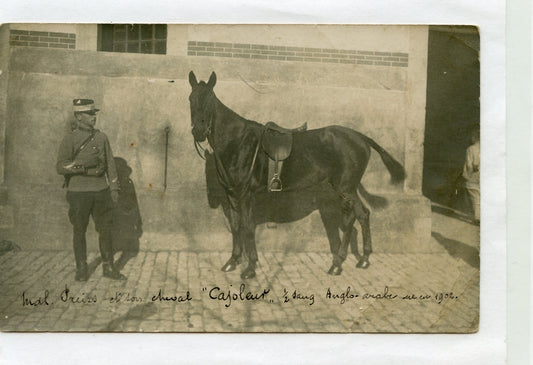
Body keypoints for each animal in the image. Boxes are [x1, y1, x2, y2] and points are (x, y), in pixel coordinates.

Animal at [187, 71, 404, 278]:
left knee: (351, 218)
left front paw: (250, 267)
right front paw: (233, 261)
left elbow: (247, 227)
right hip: (349, 188)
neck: (238, 141)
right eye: (191, 98)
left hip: (345, 189)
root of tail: (360, 137)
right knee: (363, 214)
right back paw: (364, 259)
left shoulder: (246, 195)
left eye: (209, 100)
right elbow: (235, 225)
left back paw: (337, 264)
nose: (199, 131)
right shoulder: (231, 194)